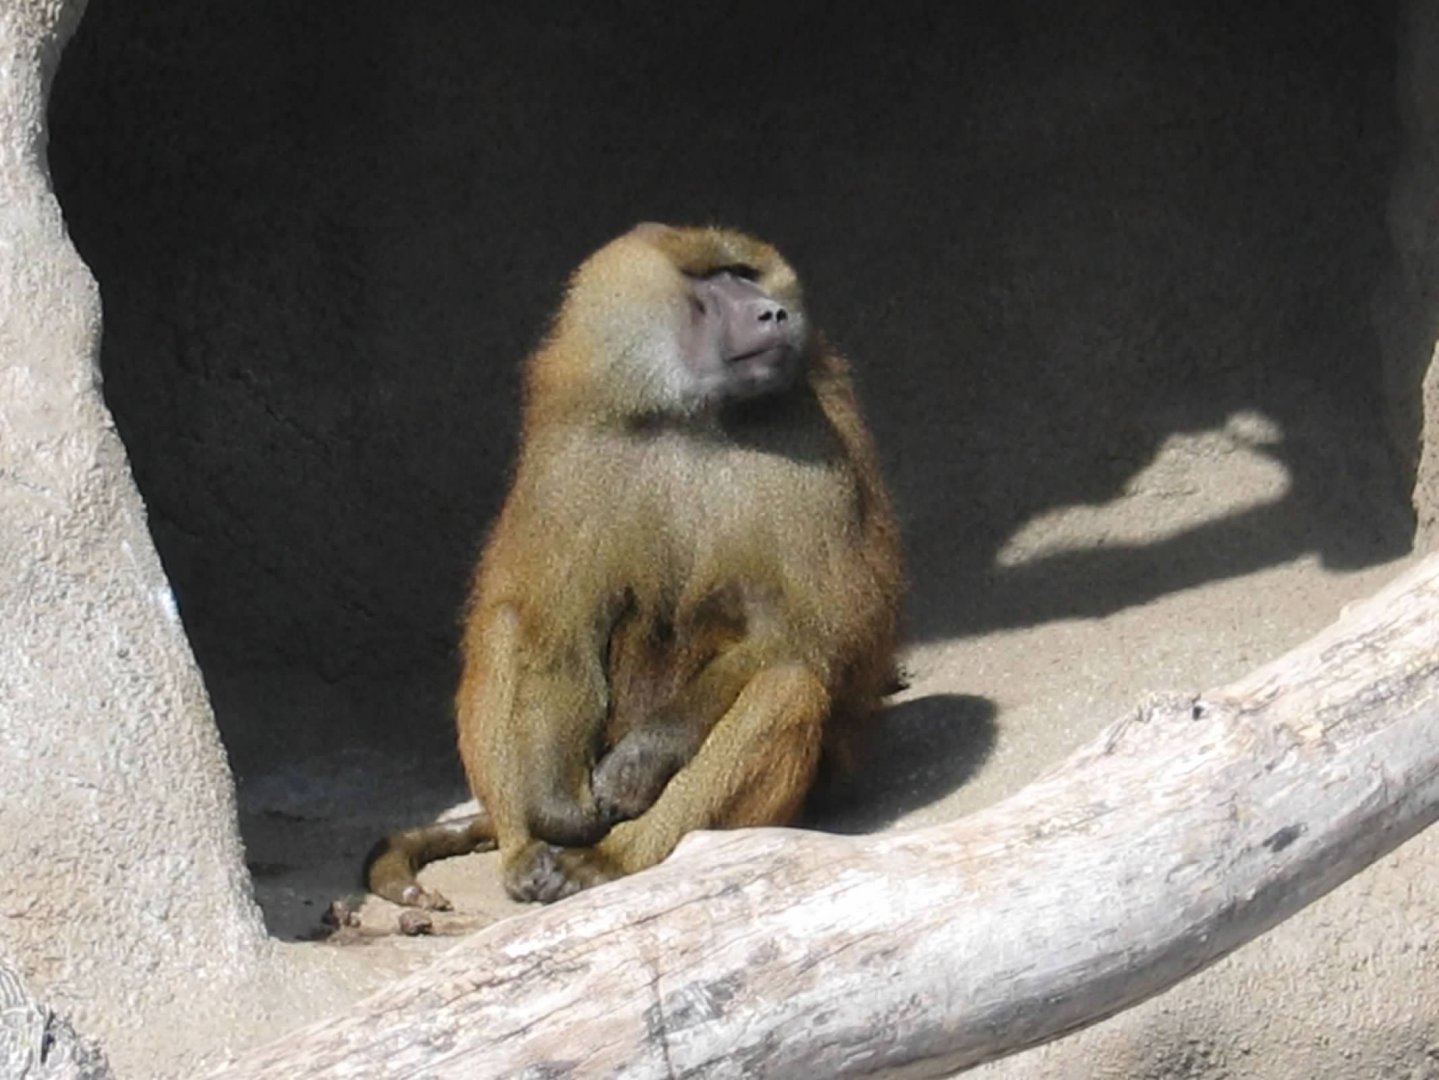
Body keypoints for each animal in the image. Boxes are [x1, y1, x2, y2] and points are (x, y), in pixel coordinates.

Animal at [366, 222, 903, 907]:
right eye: (715, 287)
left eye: (747, 276)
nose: (774, 313)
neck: (691, 420)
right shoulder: (576, 460)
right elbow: (560, 635)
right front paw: (560, 807)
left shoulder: (810, 448)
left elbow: (800, 635)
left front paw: (636, 766)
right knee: (507, 627)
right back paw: (528, 853)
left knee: (786, 685)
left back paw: (607, 863)